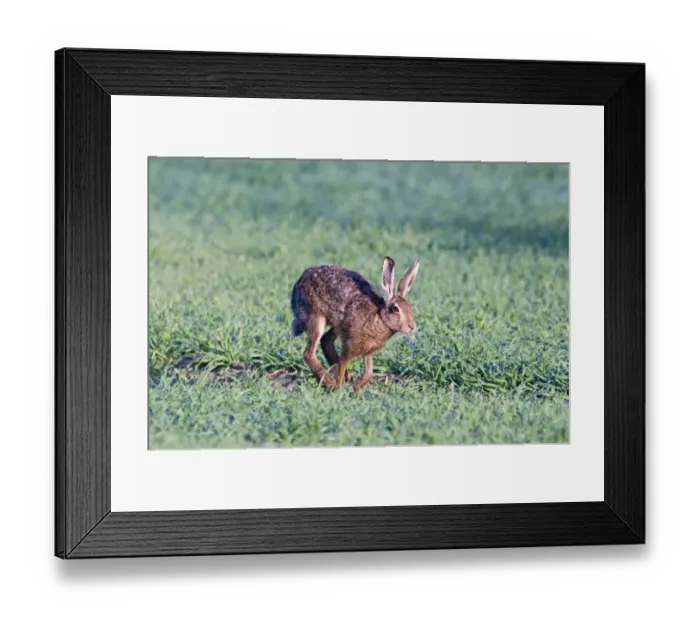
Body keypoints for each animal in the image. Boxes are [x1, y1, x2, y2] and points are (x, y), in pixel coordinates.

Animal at [290, 256, 420, 391]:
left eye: (410, 307)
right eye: (395, 309)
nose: (412, 326)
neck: (379, 318)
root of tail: (298, 284)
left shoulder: (368, 351)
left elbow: (369, 372)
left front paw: (357, 386)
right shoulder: (349, 346)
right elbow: (342, 365)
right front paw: (338, 387)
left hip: (338, 325)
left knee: (325, 340)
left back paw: (345, 377)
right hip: (317, 318)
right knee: (309, 354)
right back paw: (329, 381)